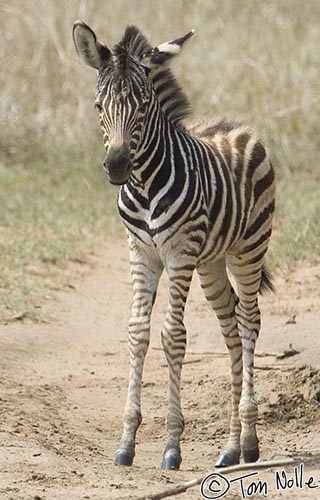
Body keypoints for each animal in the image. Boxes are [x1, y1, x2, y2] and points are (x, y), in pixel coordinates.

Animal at [72, 21, 276, 470]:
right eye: (98, 106)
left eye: (144, 107)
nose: (117, 166)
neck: (145, 184)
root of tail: (237, 128)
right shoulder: (141, 254)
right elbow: (137, 332)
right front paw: (127, 442)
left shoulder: (179, 254)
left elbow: (173, 336)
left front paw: (171, 446)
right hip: (212, 264)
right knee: (230, 328)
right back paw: (230, 448)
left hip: (247, 250)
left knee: (249, 321)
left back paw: (249, 441)